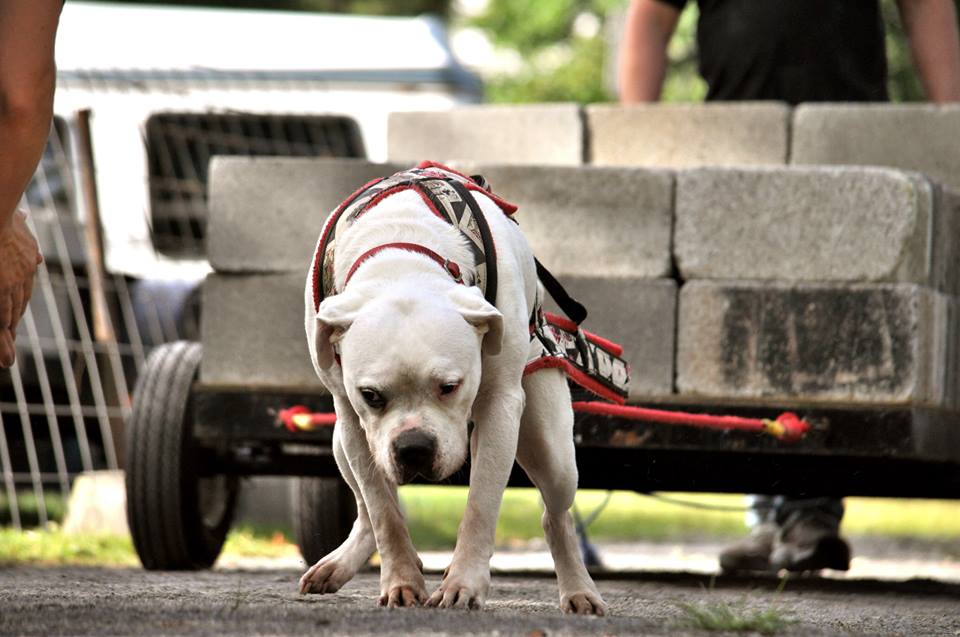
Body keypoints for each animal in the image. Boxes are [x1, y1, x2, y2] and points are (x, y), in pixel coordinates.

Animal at [300, 161, 604, 612]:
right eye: (371, 396)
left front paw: (464, 584)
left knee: (556, 516)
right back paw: (339, 563)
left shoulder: (500, 408)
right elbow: (383, 510)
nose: (413, 448)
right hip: (339, 441)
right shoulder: (352, 419)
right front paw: (402, 581)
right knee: (366, 509)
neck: (402, 260)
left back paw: (580, 589)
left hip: (551, 448)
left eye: (449, 386)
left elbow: (481, 504)